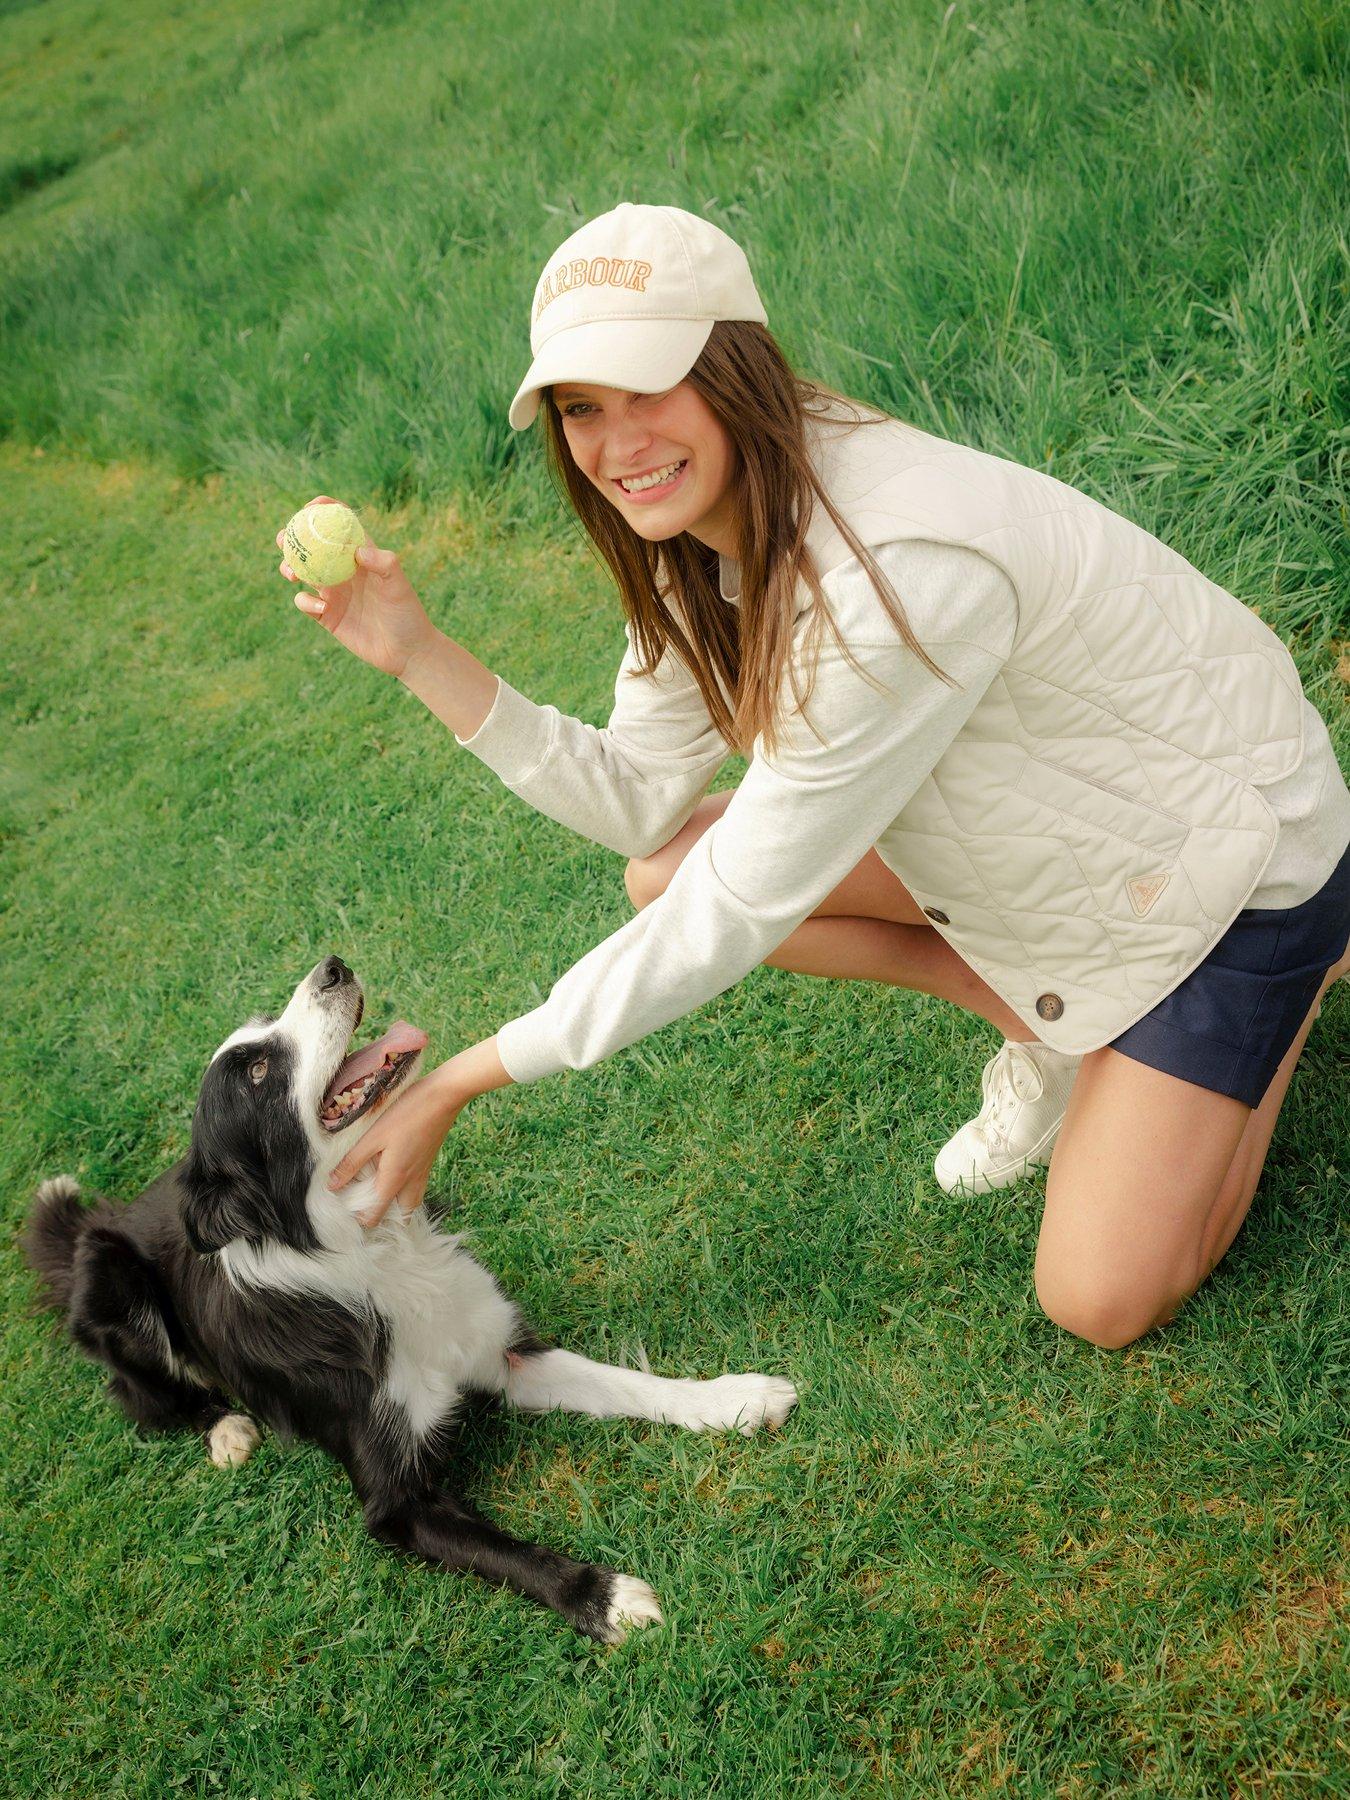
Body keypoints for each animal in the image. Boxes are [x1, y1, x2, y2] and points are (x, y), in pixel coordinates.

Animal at [23, 957, 792, 1648]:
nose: (333, 966)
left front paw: (735, 1399)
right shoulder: (393, 1503)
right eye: (257, 1073)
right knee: (145, 1397)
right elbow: (510, 1555)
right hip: (112, 1282)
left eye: (265, 1024)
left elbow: (624, 1383)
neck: (372, 1251)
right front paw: (606, 1598)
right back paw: (227, 1429)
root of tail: (99, 1224)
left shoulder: (503, 1352)